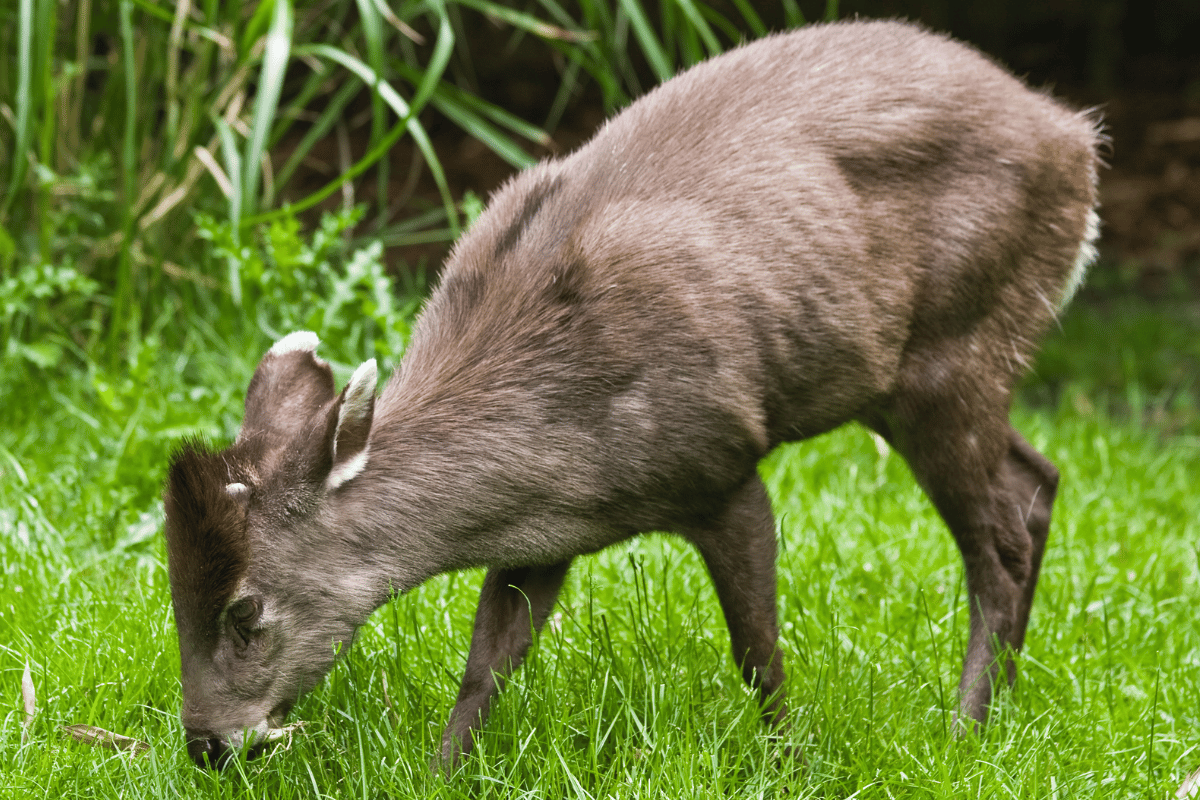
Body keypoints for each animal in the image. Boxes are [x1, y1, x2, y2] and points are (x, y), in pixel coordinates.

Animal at [164, 18, 1099, 767]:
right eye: (175, 594)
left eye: (245, 609)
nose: (209, 744)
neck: (562, 454)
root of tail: (1075, 137)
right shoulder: (540, 536)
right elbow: (485, 667)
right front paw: (441, 773)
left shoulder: (720, 463)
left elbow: (756, 653)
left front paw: (791, 766)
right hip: (920, 374)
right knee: (1038, 477)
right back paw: (1000, 706)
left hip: (956, 344)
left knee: (998, 541)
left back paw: (965, 732)